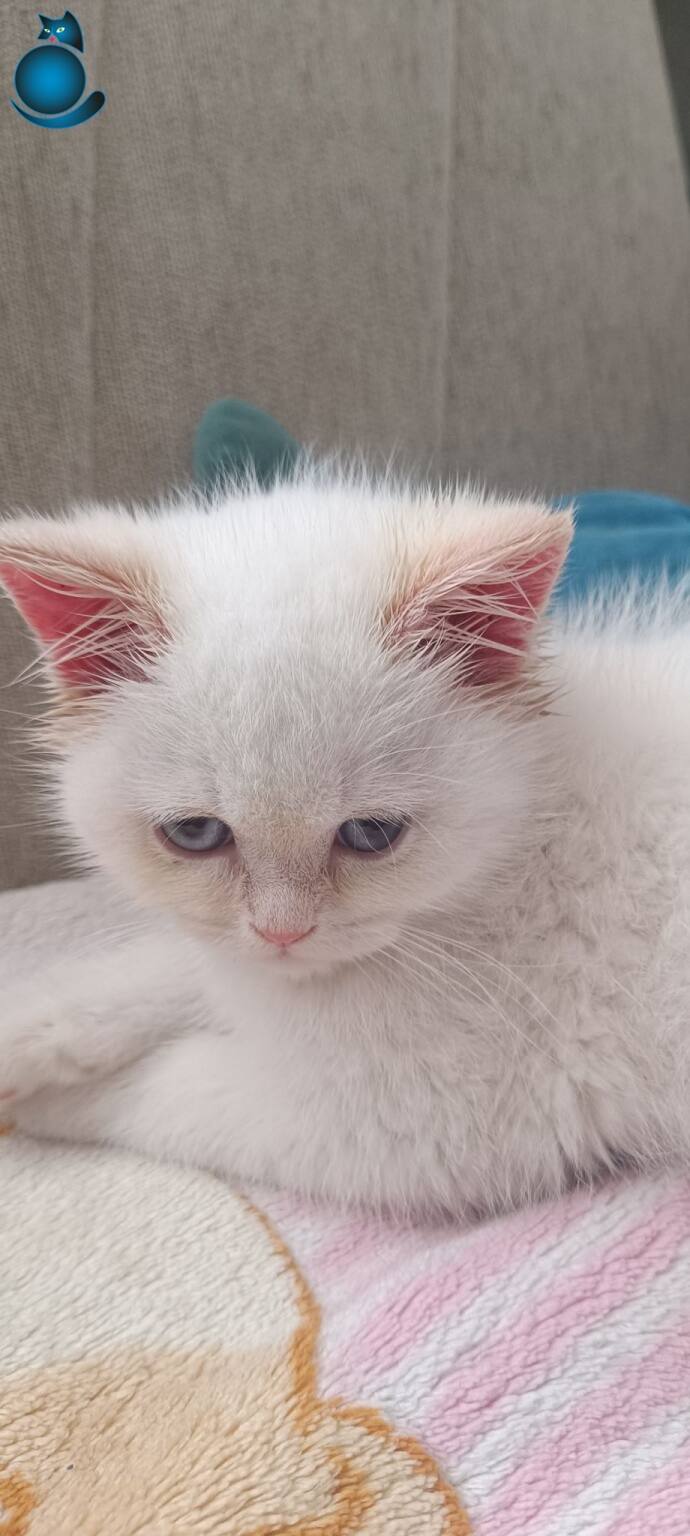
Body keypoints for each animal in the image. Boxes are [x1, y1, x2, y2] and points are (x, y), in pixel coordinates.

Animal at [1, 468, 690, 1219]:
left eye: (371, 834)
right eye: (196, 834)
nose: (282, 933)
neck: (519, 844)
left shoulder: (405, 1123)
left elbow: (164, 1087)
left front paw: (52, 1101)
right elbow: (172, 967)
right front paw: (33, 1022)